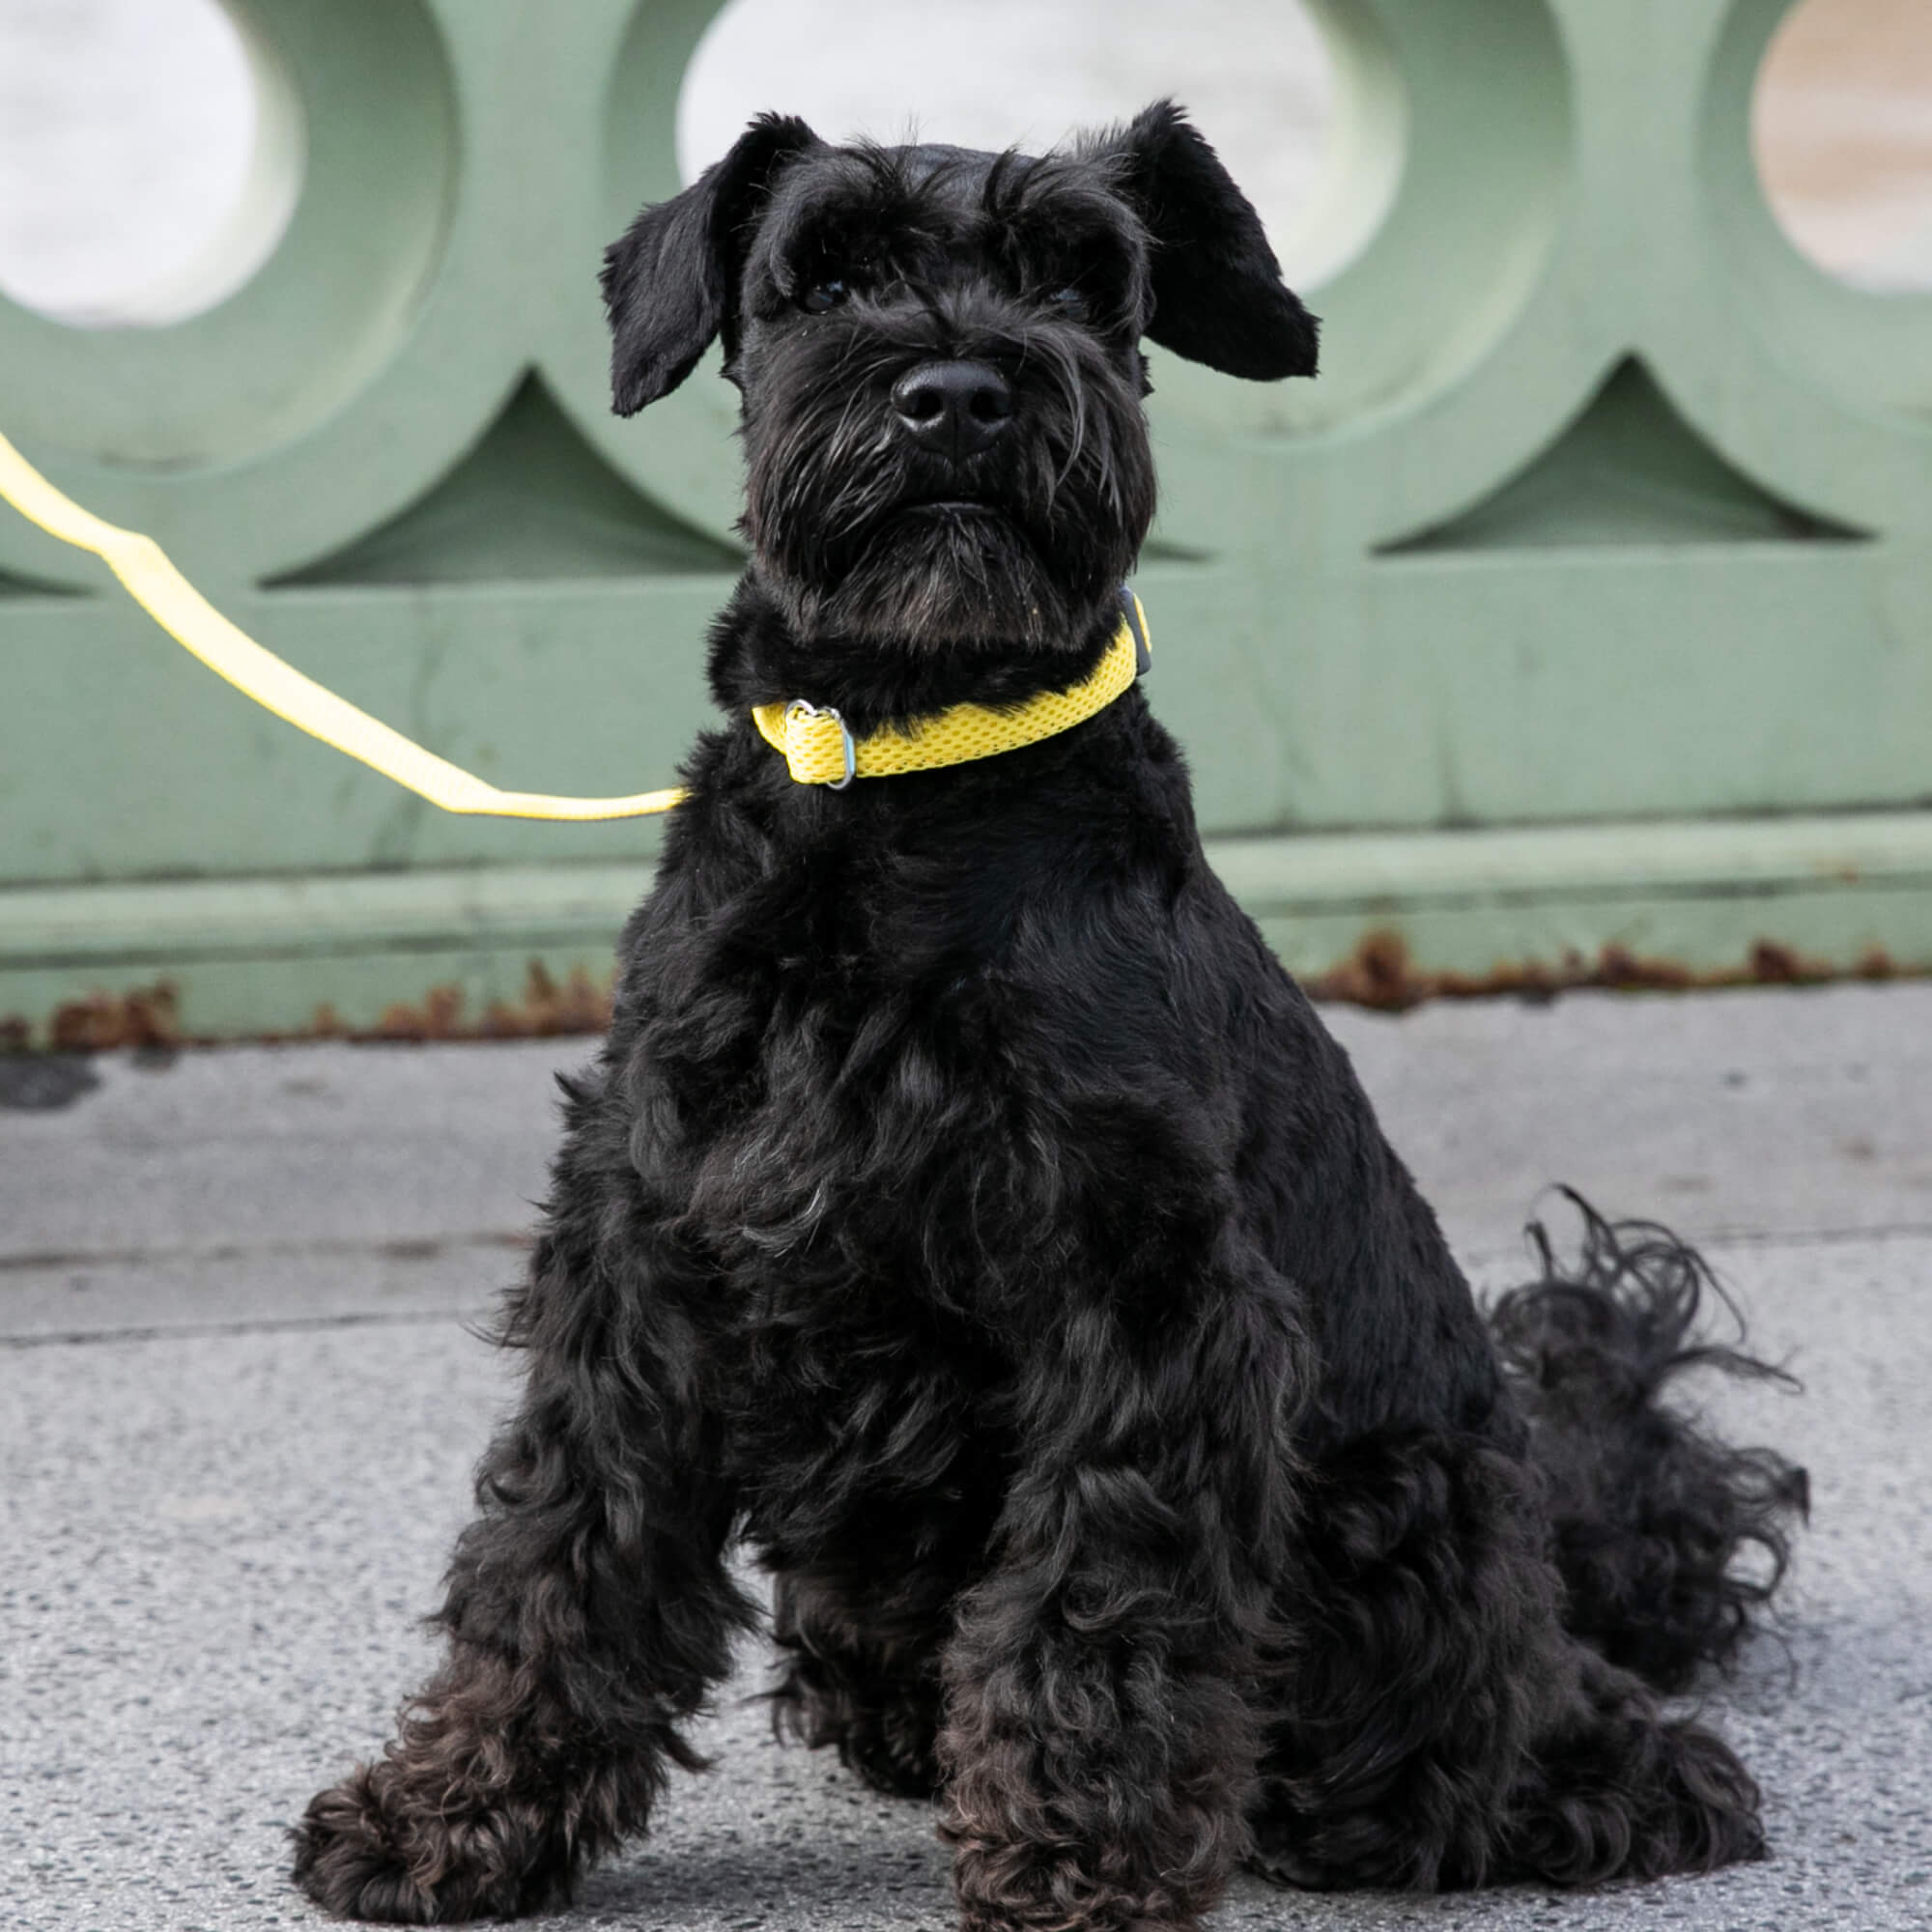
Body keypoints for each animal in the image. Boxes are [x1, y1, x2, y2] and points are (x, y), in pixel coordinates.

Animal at [290, 109, 1808, 1932]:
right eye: (829, 273)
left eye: (1082, 280)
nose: (957, 393)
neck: (901, 783)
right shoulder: (647, 1255)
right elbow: (560, 1549)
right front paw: (456, 1813)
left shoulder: (1140, 1294)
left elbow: (1097, 1606)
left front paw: (1076, 1865)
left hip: (1410, 1538)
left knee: (1535, 1750)